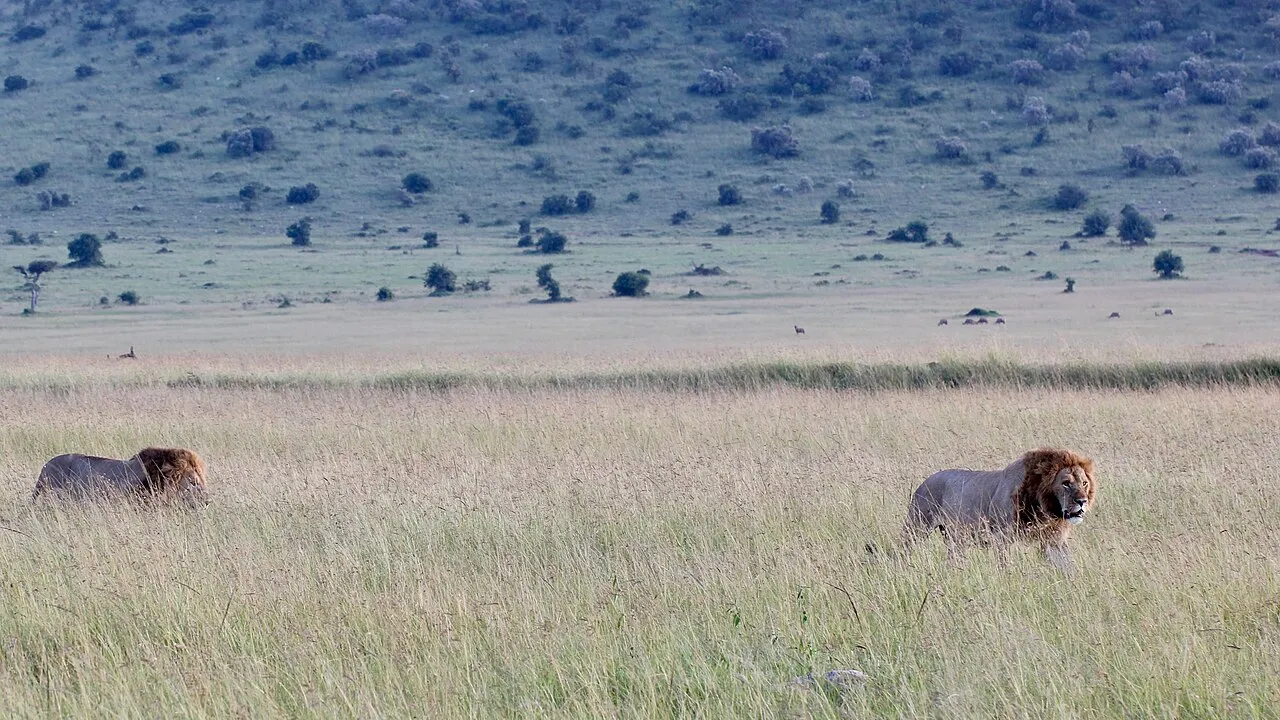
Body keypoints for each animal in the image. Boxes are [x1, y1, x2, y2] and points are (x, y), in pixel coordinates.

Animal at [899, 448, 1097, 572]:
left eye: (1084, 483)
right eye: (1066, 483)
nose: (1082, 501)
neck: (1045, 509)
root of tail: (924, 482)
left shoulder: (1054, 540)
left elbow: (1067, 565)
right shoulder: (1002, 538)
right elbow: (1005, 565)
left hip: (955, 538)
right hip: (916, 527)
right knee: (902, 551)